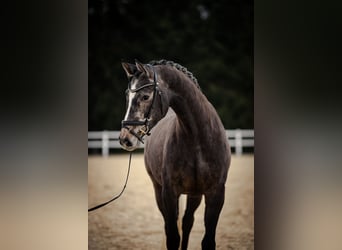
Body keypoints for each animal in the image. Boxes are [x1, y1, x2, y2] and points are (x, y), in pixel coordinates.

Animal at [119, 59, 231, 249]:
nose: (125, 139)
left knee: (187, 222)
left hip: (194, 194)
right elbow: (172, 237)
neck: (197, 139)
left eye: (145, 96)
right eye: (127, 96)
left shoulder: (216, 194)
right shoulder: (169, 193)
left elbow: (207, 240)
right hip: (159, 190)